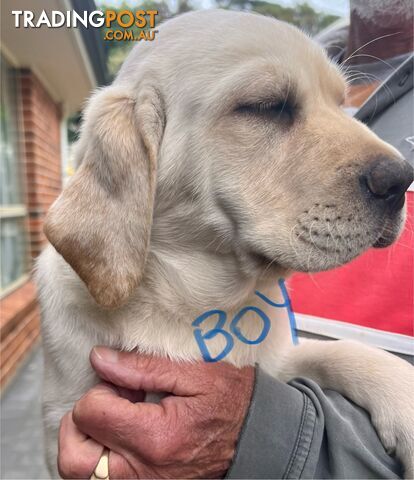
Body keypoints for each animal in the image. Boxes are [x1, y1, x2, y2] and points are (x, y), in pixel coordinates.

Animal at [36, 9, 414, 478]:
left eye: (342, 103)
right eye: (266, 106)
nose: (401, 180)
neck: (198, 304)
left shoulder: (277, 361)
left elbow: (345, 351)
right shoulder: (66, 417)